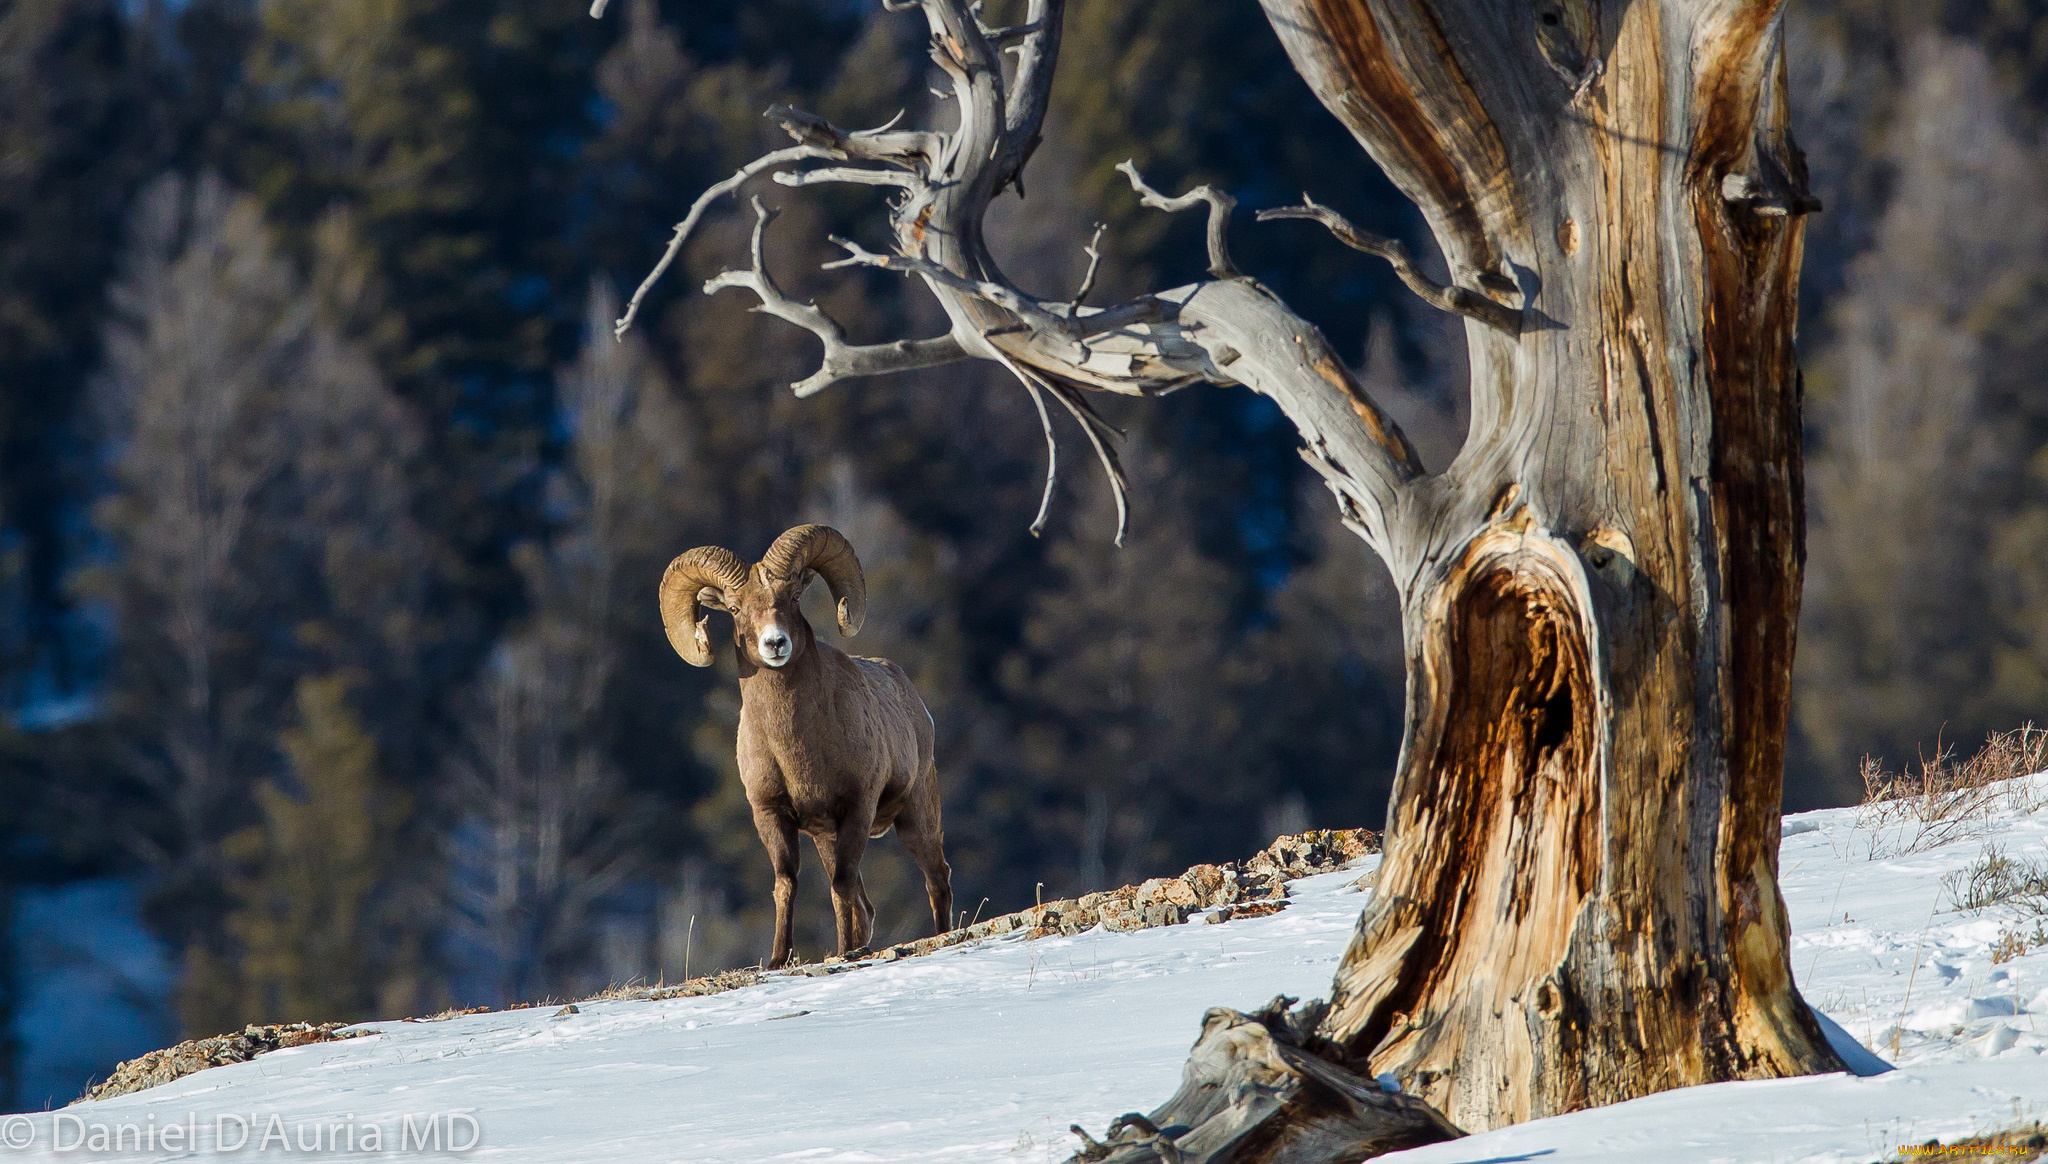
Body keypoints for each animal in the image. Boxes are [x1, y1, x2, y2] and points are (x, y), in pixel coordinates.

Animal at [659, 524, 954, 963]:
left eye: (793, 598)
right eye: (734, 609)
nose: (775, 644)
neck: (795, 749)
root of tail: (915, 701)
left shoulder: (856, 810)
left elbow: (841, 883)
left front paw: (845, 952)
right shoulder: (772, 815)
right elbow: (787, 884)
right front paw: (779, 958)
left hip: (916, 816)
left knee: (936, 879)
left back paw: (938, 935)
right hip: (827, 837)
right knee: (865, 905)